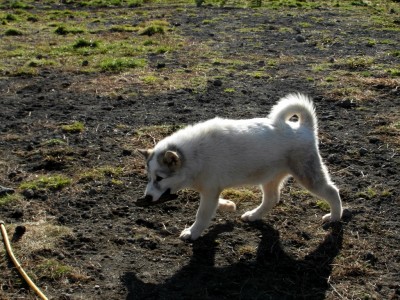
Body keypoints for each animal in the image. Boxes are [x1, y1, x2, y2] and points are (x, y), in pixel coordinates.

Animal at [137, 94, 340, 241]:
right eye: (149, 178)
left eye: (160, 178)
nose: (147, 198)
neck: (194, 155)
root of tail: (304, 127)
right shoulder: (211, 190)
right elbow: (213, 204)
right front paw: (228, 205)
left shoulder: (210, 190)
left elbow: (202, 214)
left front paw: (192, 232)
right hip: (269, 177)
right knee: (272, 199)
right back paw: (253, 215)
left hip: (308, 175)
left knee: (332, 191)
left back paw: (334, 217)